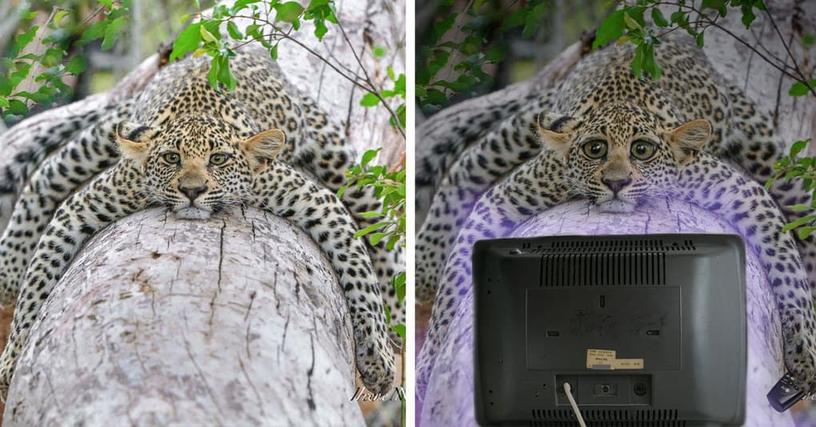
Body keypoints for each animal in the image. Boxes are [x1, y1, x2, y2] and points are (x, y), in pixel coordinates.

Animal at [0, 46, 404, 398]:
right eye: (171, 158)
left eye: (219, 159)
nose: (192, 190)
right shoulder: (87, 204)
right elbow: (36, 284)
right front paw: (11, 361)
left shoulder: (317, 200)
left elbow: (360, 275)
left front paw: (378, 357)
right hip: (110, 133)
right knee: (45, 177)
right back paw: (6, 273)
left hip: (338, 159)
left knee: (380, 226)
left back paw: (399, 321)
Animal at [418, 34, 816, 402]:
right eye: (595, 149)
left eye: (642, 150)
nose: (616, 182)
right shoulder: (506, 198)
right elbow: (453, 284)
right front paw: (428, 362)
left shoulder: (744, 193)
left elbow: (789, 272)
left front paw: (805, 354)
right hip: (523, 128)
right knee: (464, 167)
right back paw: (422, 271)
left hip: (772, 157)